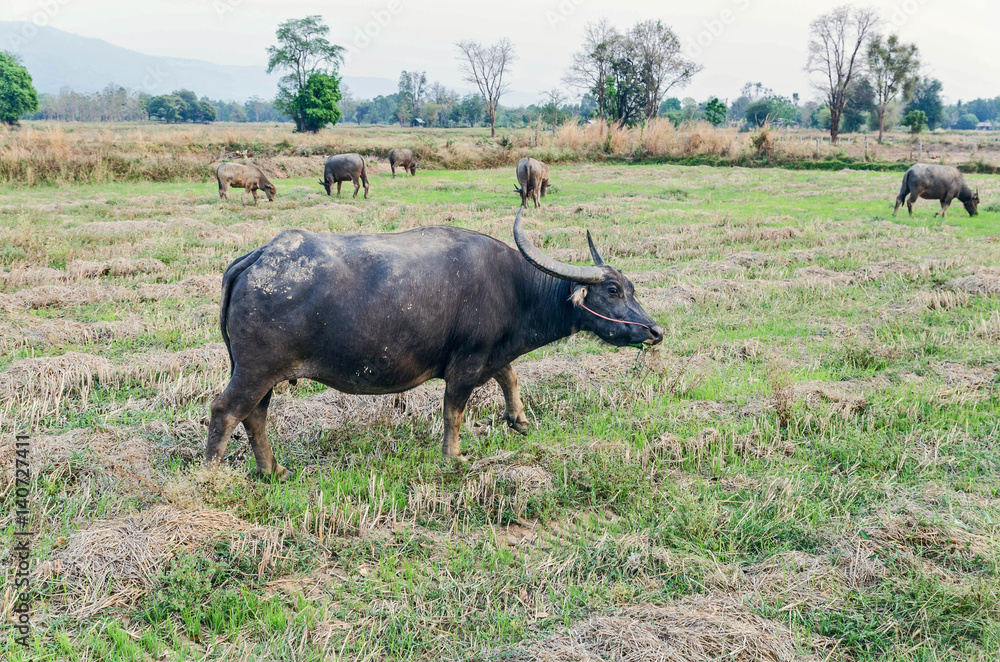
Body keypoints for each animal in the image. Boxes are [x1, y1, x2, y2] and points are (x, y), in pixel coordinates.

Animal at [206, 210, 660, 480]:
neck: (515, 288)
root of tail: (258, 256)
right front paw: (454, 457)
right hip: (256, 369)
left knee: (255, 416)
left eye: (632, 287)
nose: (655, 331)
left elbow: (510, 375)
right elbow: (454, 412)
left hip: (261, 374)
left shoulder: (491, 353)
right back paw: (212, 474)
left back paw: (272, 470)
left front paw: (519, 420)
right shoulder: (467, 362)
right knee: (226, 411)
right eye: (614, 290)